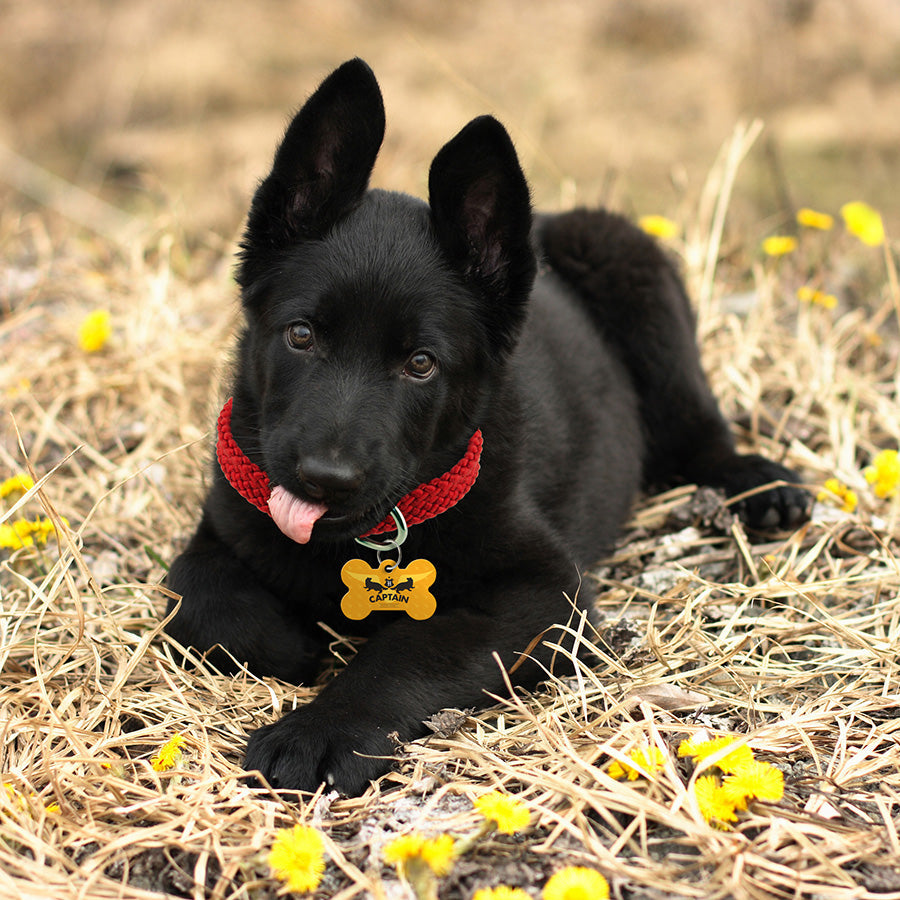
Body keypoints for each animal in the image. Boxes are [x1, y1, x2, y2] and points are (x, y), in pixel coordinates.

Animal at [167, 58, 808, 796]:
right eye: (301, 335)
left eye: (421, 364)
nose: (325, 479)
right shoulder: (224, 523)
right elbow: (197, 595)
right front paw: (290, 642)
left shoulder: (546, 593)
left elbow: (409, 649)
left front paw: (319, 731)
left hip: (636, 278)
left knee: (697, 430)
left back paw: (757, 483)